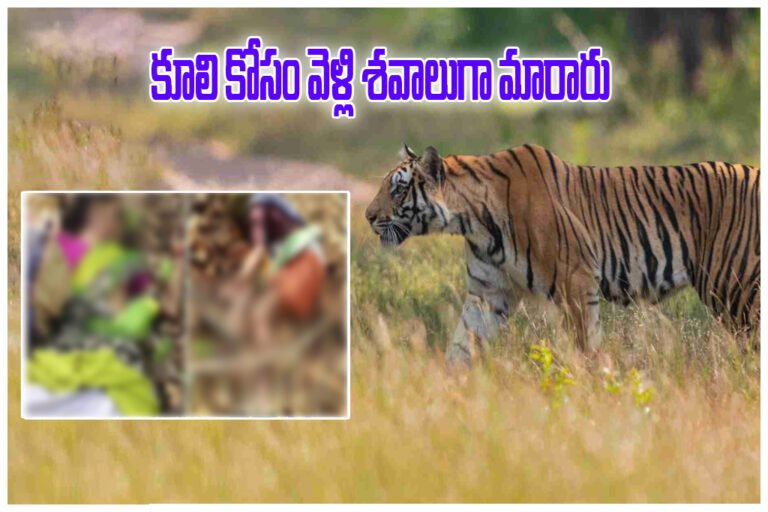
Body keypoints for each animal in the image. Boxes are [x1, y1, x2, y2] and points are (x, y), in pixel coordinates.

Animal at [365, 143, 760, 365]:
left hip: (734, 289)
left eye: (397, 190)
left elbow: (585, 347)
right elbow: (462, 345)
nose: (367, 216)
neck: (473, 221)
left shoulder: (576, 282)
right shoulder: (488, 294)